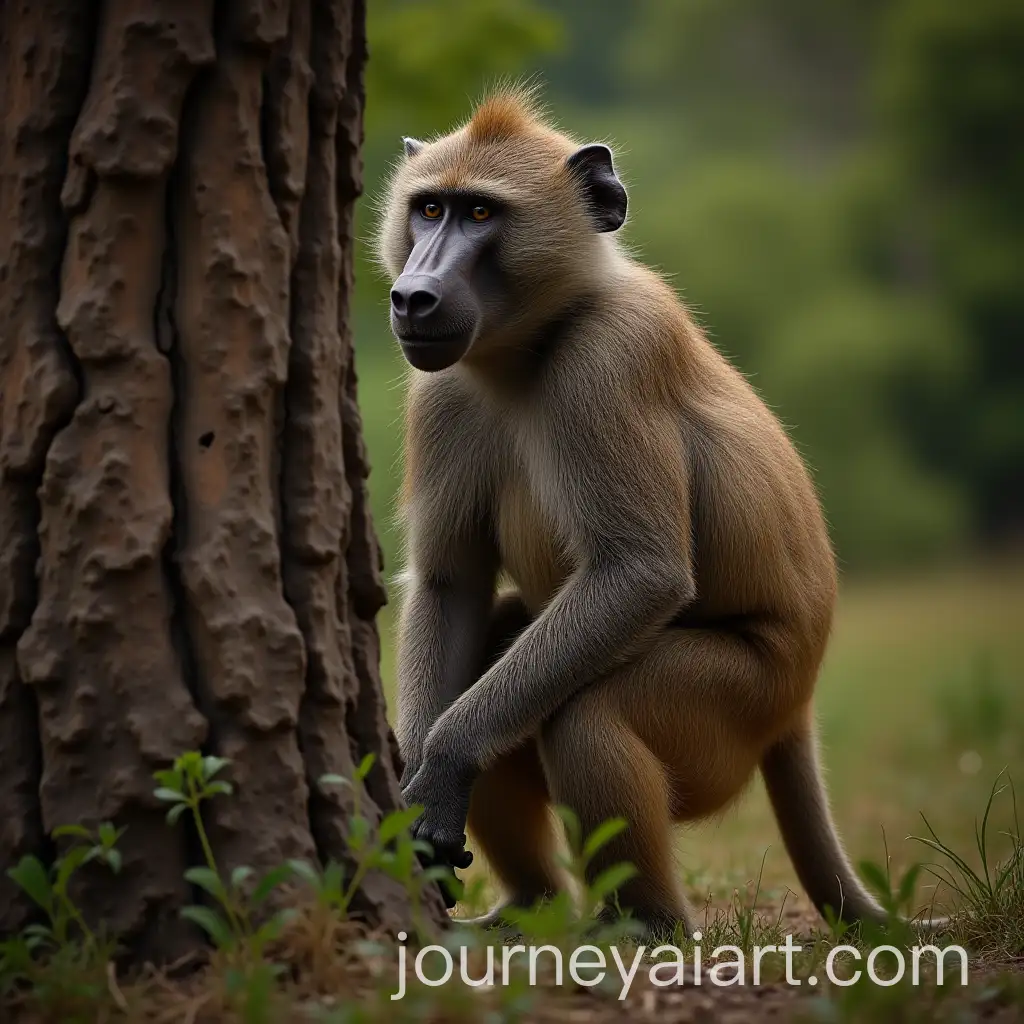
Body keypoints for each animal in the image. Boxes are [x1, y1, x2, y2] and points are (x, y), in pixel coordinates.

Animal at [376, 86, 912, 939]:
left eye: (481, 214)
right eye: (428, 208)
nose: (413, 296)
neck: (531, 347)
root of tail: (798, 702)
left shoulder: (609, 361)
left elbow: (640, 574)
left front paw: (444, 764)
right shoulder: (443, 388)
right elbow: (450, 584)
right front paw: (417, 783)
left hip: (740, 702)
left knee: (590, 714)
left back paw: (643, 922)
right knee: (500, 637)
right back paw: (531, 908)